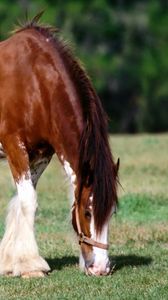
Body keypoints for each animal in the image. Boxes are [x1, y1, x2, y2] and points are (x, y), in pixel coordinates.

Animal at [0, 13, 119, 276]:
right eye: (87, 212)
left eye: (112, 212)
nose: (101, 267)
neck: (35, 83)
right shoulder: (14, 145)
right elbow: (28, 201)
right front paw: (31, 266)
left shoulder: (42, 154)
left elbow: (21, 200)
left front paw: (9, 261)